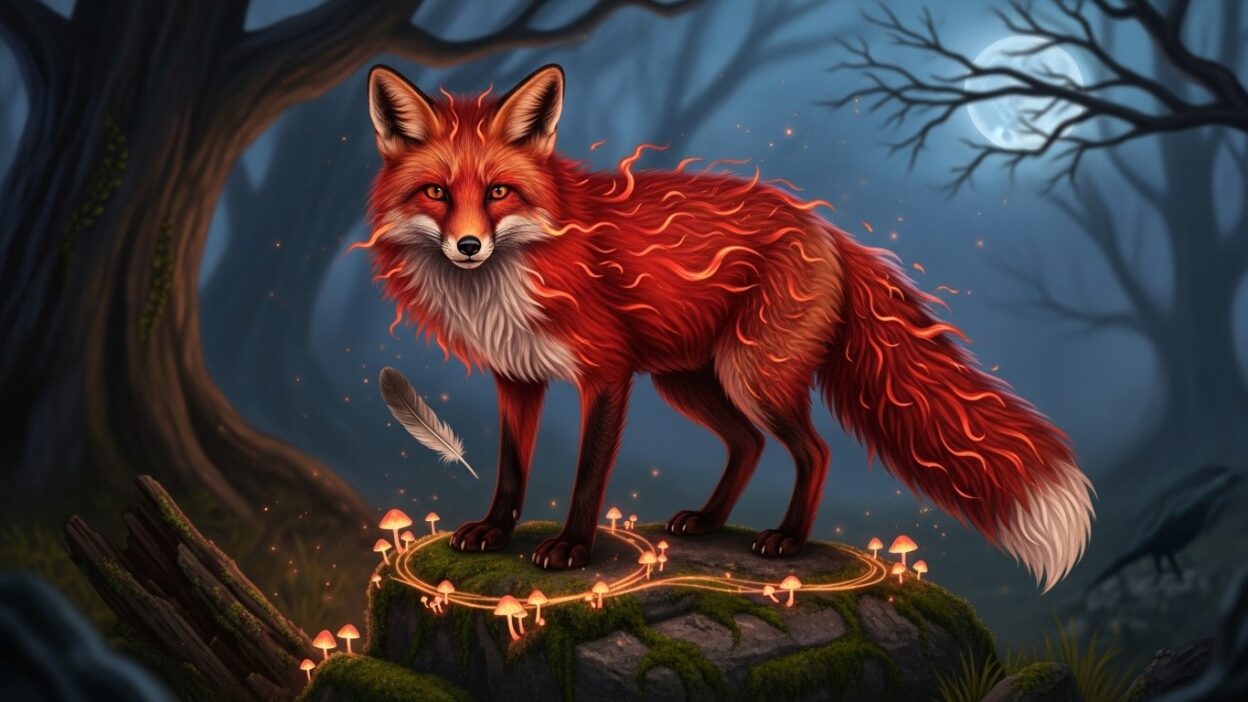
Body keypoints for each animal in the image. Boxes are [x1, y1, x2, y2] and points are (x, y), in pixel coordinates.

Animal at [363, 64, 1095, 590]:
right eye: (436, 192)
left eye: (498, 192)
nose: (468, 247)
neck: (516, 272)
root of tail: (826, 230)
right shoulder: (516, 375)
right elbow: (512, 469)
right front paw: (494, 529)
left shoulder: (607, 373)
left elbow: (588, 474)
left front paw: (572, 546)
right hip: (691, 382)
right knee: (748, 444)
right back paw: (710, 520)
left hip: (752, 376)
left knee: (813, 451)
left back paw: (788, 539)